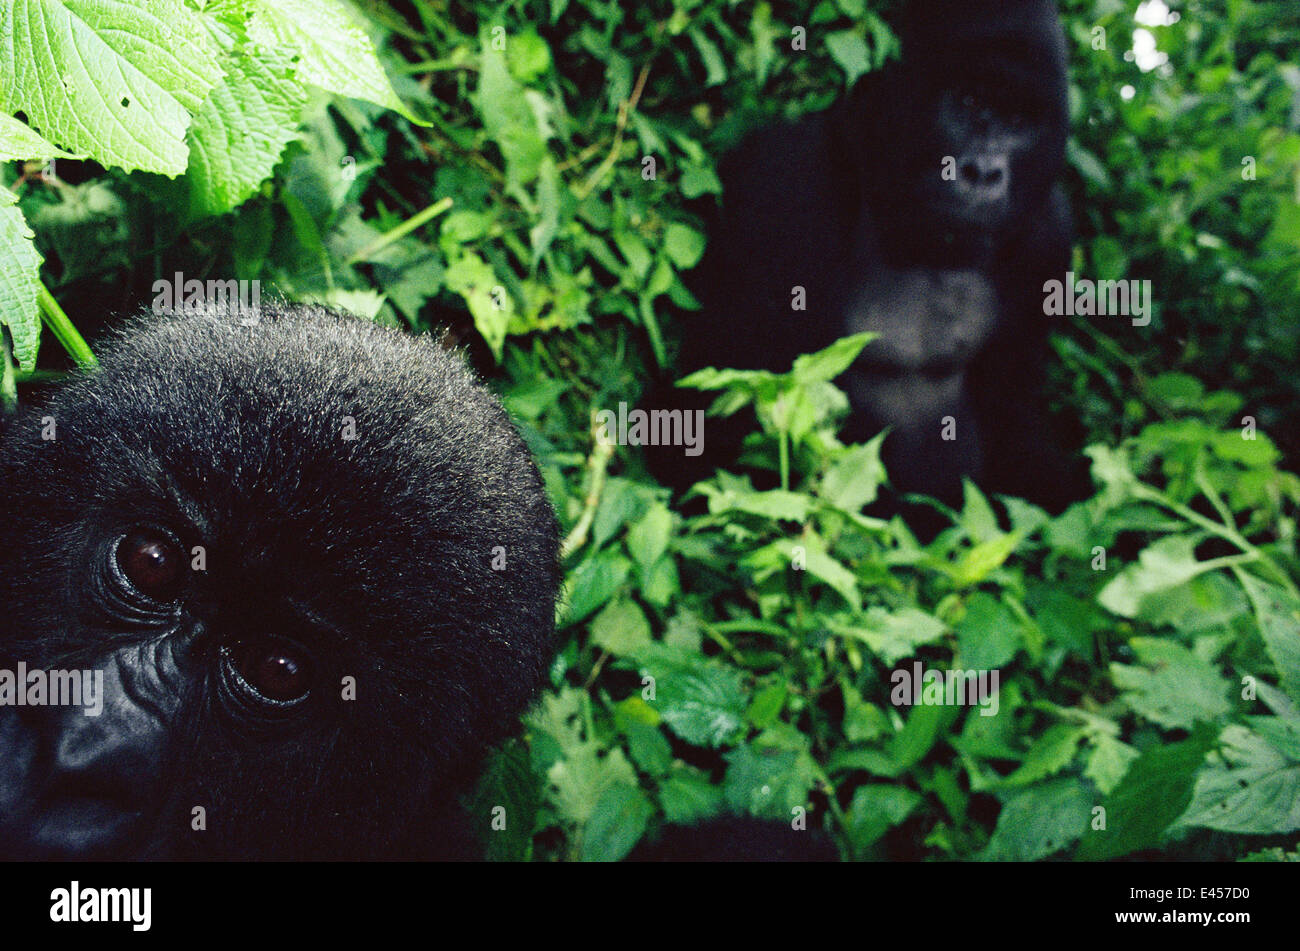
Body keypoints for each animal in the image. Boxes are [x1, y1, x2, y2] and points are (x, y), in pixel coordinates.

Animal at [660, 0, 1086, 519]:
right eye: (968, 102)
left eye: (1020, 122)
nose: (984, 172)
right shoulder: (782, 175)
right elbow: (713, 408)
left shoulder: (1049, 234)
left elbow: (1014, 412)